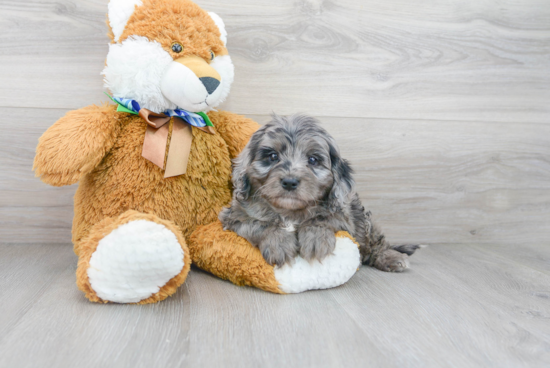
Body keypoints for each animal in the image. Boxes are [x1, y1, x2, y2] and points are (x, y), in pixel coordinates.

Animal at [220, 113, 422, 272]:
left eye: (313, 159)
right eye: (272, 156)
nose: (290, 182)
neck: (289, 211)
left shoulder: (344, 217)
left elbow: (322, 218)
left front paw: (316, 239)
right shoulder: (233, 217)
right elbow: (258, 224)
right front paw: (279, 242)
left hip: (361, 218)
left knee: (375, 243)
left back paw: (391, 257)